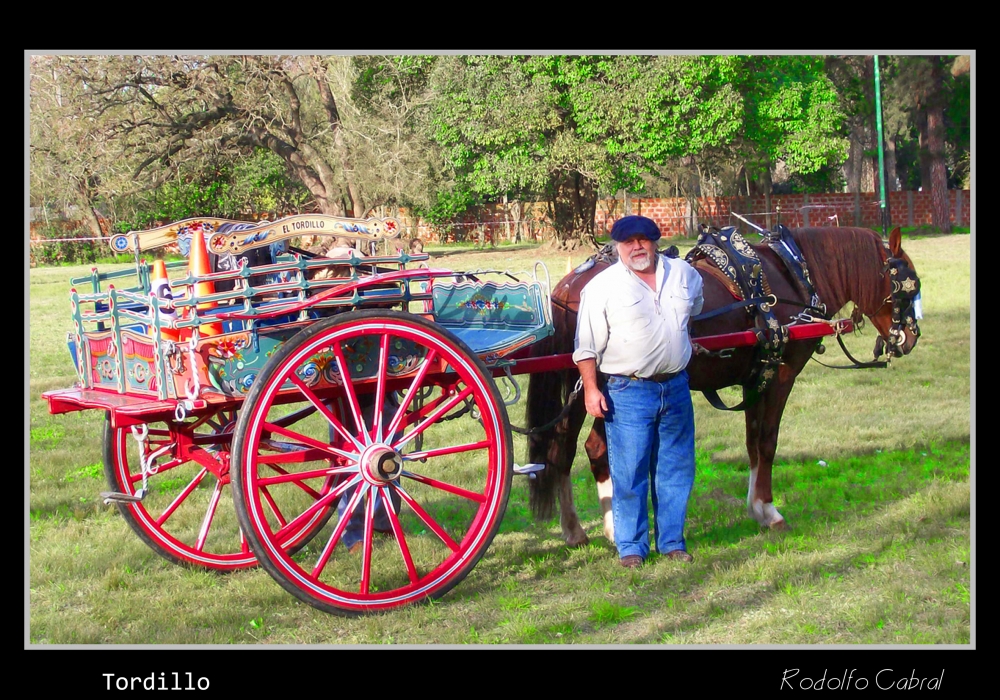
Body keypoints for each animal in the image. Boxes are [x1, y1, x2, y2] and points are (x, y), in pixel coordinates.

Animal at [524, 226, 920, 548]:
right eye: (908, 285)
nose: (911, 337)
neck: (794, 275)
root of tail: (568, 287)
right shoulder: (781, 377)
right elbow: (768, 442)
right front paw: (769, 510)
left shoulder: (757, 379)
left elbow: (752, 442)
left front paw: (756, 507)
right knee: (583, 448)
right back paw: (598, 528)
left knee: (572, 450)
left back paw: (583, 528)